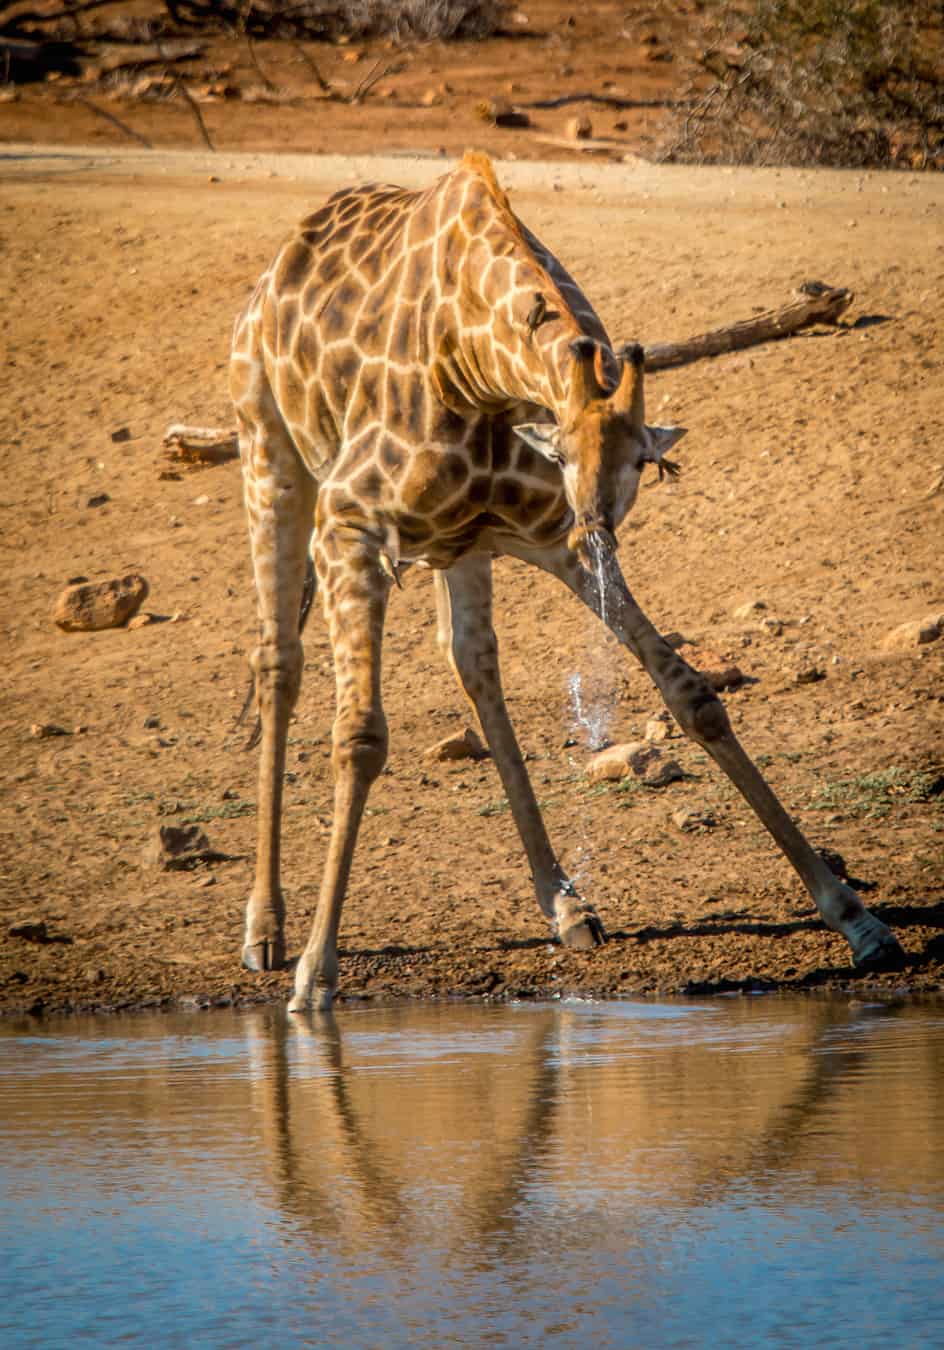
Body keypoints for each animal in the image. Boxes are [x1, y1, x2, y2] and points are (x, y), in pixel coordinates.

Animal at [226, 150, 902, 1015]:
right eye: (567, 455)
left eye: (646, 461)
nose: (601, 524)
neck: (472, 367)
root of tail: (272, 275)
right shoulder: (351, 524)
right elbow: (361, 737)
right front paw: (316, 977)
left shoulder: (545, 535)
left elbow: (693, 695)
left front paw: (859, 921)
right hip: (270, 457)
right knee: (278, 659)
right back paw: (265, 930)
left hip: (461, 544)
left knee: (473, 663)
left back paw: (566, 905)